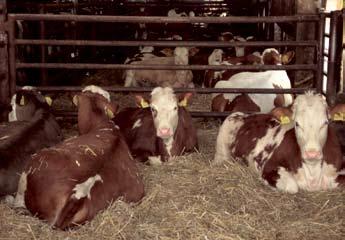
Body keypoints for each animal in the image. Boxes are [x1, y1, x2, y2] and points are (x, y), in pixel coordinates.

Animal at [212, 91, 344, 194]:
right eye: (297, 123)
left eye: (325, 122)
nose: (312, 153)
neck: (313, 173)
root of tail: (244, 113)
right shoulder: (268, 168)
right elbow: (292, 186)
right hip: (221, 151)